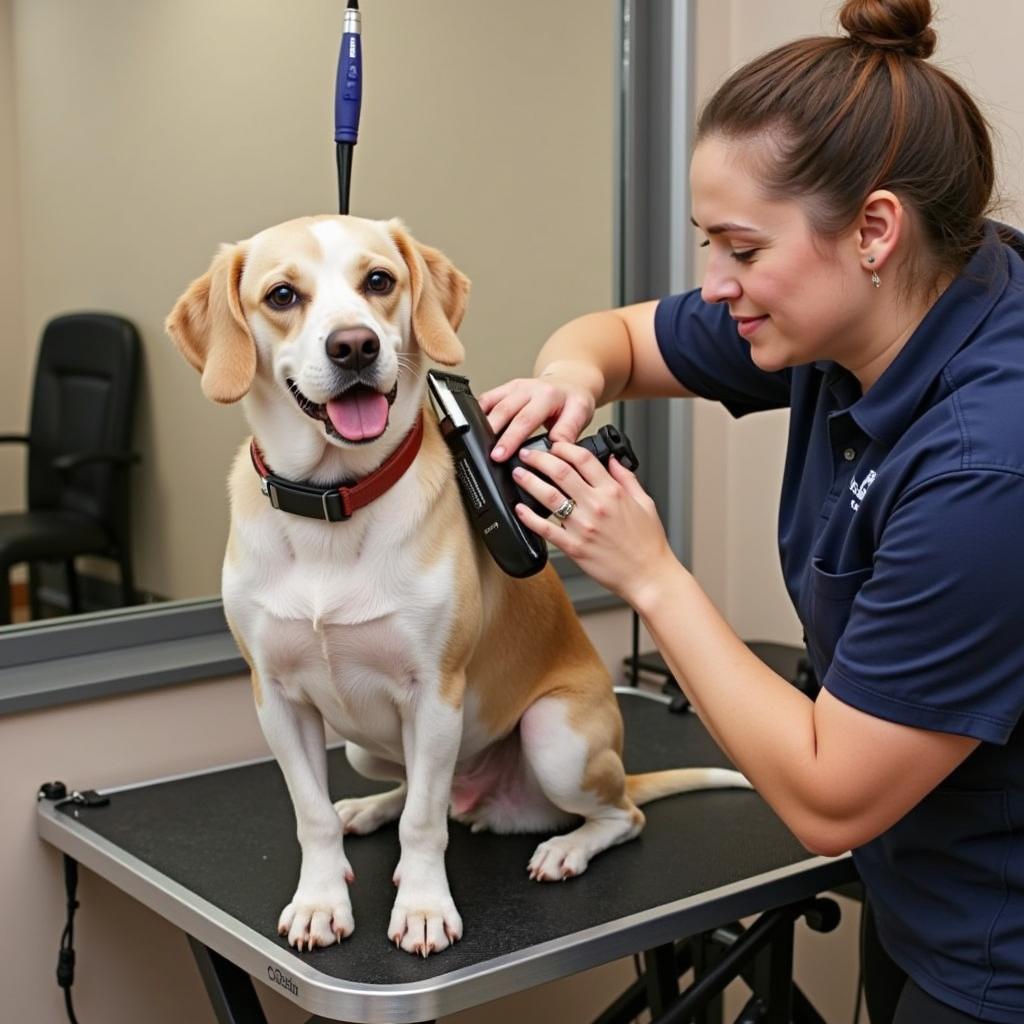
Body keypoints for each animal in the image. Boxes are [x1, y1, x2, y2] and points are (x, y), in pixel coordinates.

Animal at [165, 216, 745, 958]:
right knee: (417, 790)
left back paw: (567, 847)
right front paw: (321, 900)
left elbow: (423, 826)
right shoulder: (277, 700)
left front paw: (421, 908)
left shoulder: (436, 694)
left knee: (614, 815)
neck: (335, 501)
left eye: (378, 280)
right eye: (282, 295)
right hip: (364, 745)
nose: (355, 345)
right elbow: (312, 814)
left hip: (556, 740)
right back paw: (368, 807)